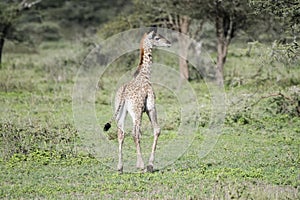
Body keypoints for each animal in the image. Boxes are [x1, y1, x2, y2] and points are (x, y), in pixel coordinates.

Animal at [103, 27, 171, 173]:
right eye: (157, 38)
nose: (169, 43)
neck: (144, 75)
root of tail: (123, 94)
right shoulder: (151, 107)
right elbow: (157, 130)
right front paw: (150, 165)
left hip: (121, 112)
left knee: (121, 133)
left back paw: (120, 167)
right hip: (136, 111)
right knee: (135, 133)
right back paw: (141, 165)